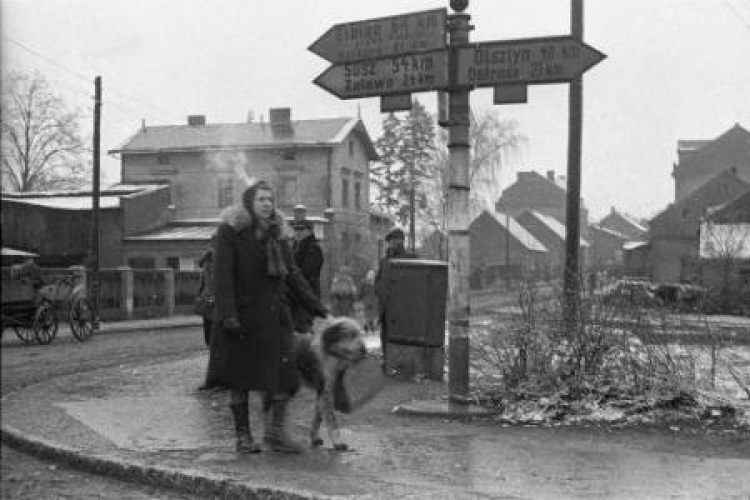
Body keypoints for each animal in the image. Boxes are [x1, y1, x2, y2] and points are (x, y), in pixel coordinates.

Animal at [292, 318, 368, 452]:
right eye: (350, 335)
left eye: (360, 334)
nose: (364, 350)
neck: (330, 354)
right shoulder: (325, 393)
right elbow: (332, 420)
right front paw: (338, 443)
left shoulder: (323, 392)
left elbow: (318, 417)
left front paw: (314, 437)